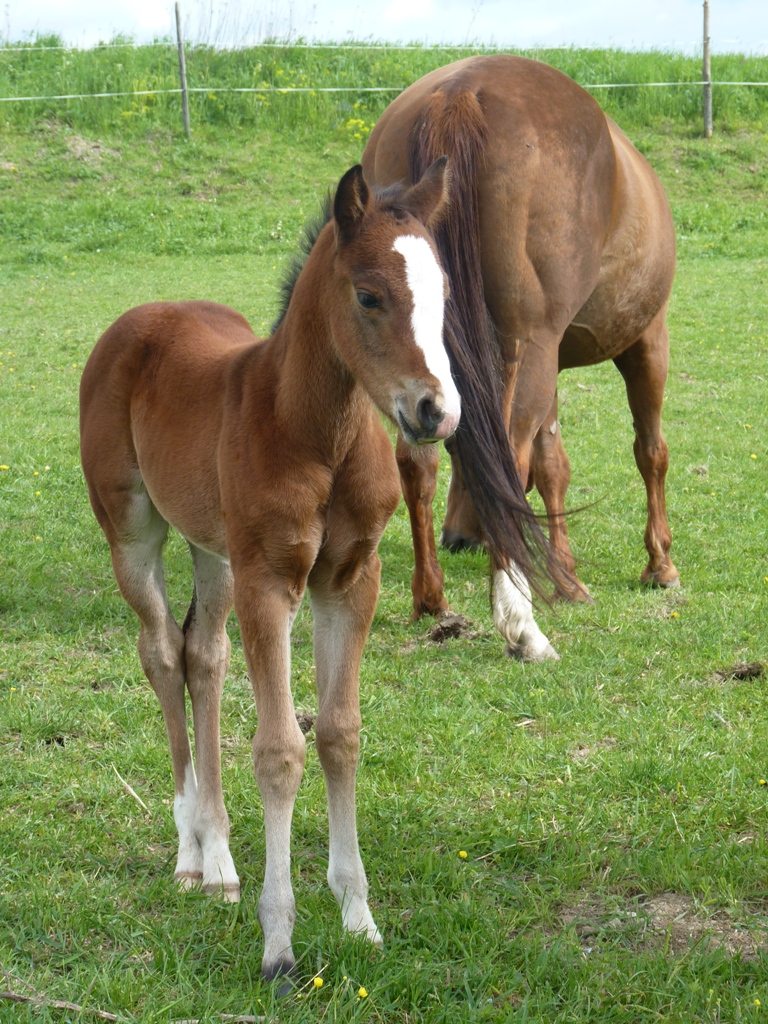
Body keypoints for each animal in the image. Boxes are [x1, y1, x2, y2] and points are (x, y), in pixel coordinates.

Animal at [79, 161, 548, 991]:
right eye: (368, 296)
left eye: (444, 293)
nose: (435, 411)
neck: (315, 431)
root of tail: (142, 317)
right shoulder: (271, 582)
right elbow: (279, 750)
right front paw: (279, 944)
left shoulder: (349, 581)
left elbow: (338, 734)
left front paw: (359, 916)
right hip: (135, 532)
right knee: (162, 653)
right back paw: (191, 853)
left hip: (216, 553)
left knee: (205, 657)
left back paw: (222, 860)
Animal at [364, 54, 679, 655]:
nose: (459, 538)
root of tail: (461, 90)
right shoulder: (646, 340)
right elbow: (650, 450)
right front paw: (659, 565)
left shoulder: (544, 359)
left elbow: (551, 464)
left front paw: (565, 573)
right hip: (536, 344)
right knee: (510, 447)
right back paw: (519, 620)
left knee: (417, 462)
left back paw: (432, 597)